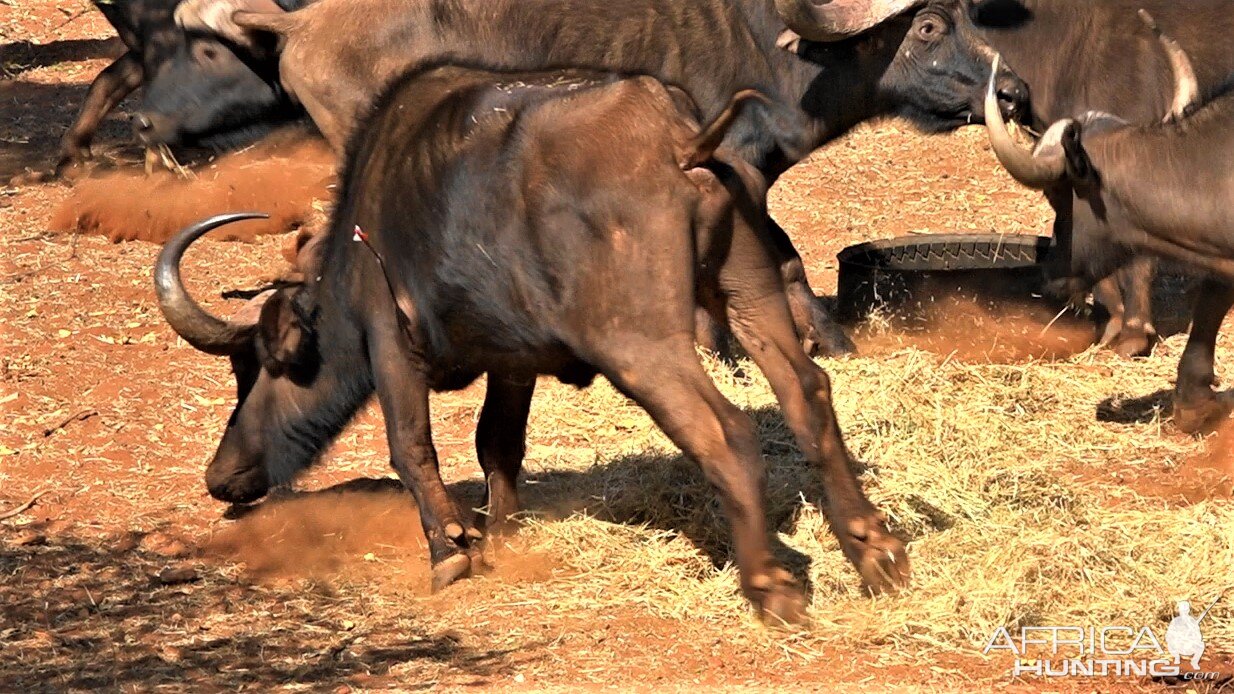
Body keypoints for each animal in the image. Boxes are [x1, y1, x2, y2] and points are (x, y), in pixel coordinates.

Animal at [154, 60, 913, 622]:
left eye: (258, 367)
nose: (221, 476)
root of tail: (678, 139)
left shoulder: (391, 341)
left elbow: (411, 446)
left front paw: (452, 549)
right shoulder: (511, 360)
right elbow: (497, 442)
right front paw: (504, 529)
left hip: (640, 341)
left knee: (723, 430)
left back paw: (770, 585)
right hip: (750, 292)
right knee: (808, 393)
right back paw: (875, 549)